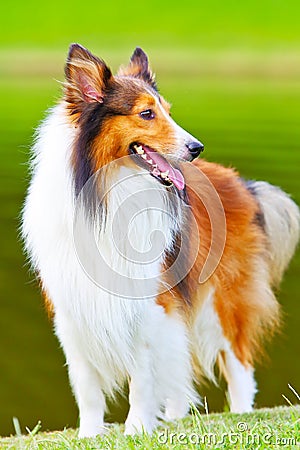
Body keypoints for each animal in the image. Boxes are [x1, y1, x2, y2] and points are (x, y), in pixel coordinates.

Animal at [21, 44, 300, 438]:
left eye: (167, 110)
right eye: (146, 113)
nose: (196, 147)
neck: (106, 194)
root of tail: (240, 182)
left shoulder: (150, 303)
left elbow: (142, 374)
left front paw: (137, 427)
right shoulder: (71, 307)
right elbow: (86, 384)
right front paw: (90, 433)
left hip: (223, 300)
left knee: (239, 366)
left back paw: (240, 413)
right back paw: (175, 415)